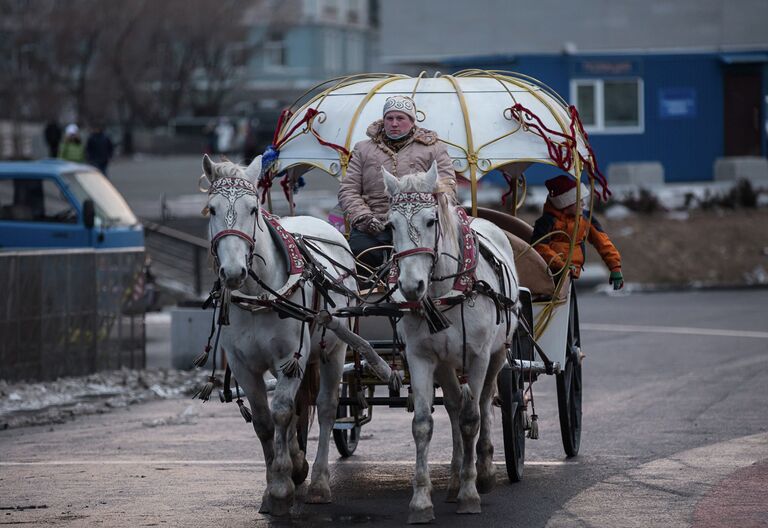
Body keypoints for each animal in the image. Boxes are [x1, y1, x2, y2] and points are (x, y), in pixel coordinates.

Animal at [202, 154, 358, 516]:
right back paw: (299, 463)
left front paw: (282, 486)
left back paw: (318, 482)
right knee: (300, 406)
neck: (259, 295)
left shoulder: (289, 358)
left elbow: (283, 412)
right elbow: (264, 420)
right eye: (212, 209)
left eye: (253, 209)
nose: (233, 272)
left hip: (334, 349)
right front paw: (276, 481)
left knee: (326, 408)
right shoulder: (244, 365)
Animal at [380, 162, 520, 524]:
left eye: (431, 220)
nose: (410, 286)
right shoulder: (421, 357)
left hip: (497, 354)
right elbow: (423, 424)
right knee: (456, 406)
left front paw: (471, 492)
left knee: (483, 403)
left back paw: (483, 470)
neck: (445, 293)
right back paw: (456, 477)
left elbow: (472, 419)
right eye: (390, 225)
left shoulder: (478, 355)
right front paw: (420, 501)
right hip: (445, 364)